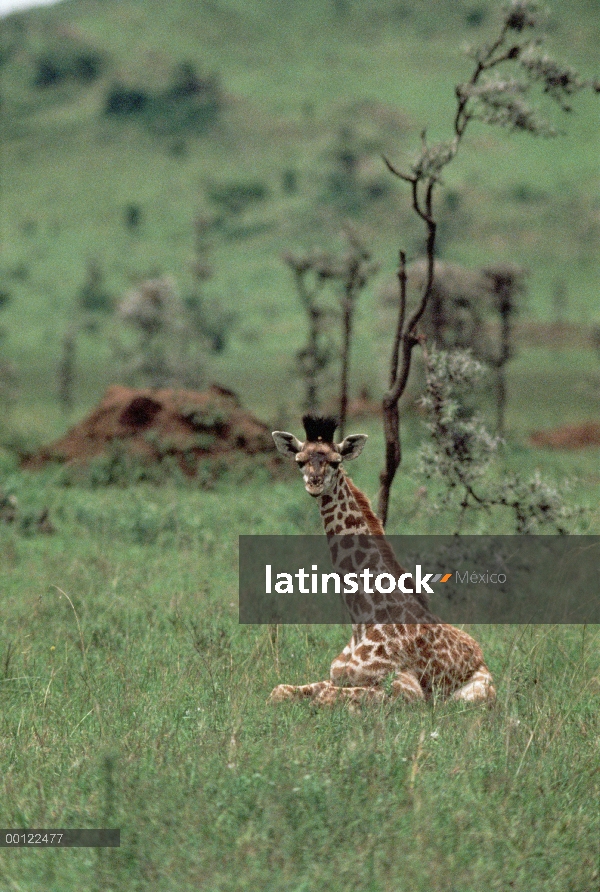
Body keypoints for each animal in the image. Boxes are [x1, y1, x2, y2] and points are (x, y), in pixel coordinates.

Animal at [270, 414, 494, 708]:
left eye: (336, 461)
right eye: (300, 461)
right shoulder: (336, 676)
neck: (362, 619)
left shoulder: (407, 689)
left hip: (471, 695)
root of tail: (483, 660)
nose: (315, 483)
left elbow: (326, 698)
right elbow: (280, 690)